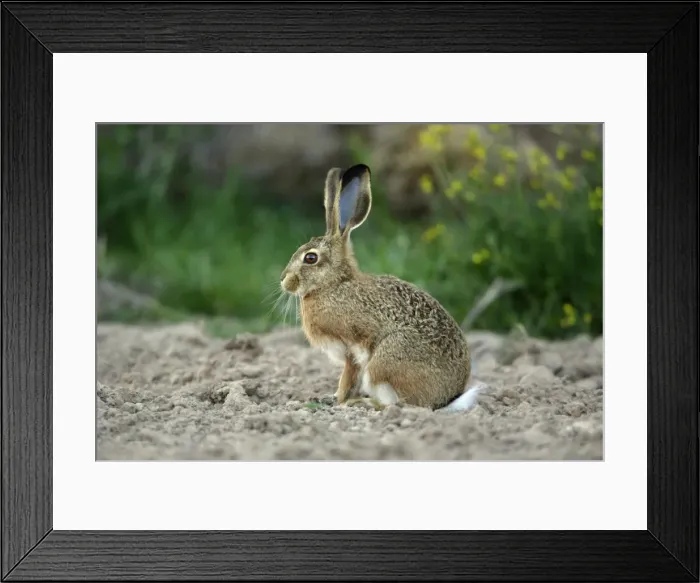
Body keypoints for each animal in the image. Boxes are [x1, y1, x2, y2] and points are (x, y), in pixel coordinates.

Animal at [280, 163, 483, 412]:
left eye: (310, 258)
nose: (285, 281)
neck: (335, 284)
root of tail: (443, 401)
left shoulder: (352, 347)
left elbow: (348, 376)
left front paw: (338, 400)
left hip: (385, 360)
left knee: (396, 404)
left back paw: (362, 403)